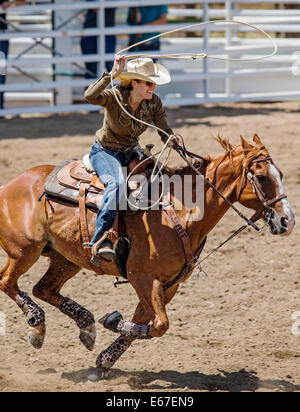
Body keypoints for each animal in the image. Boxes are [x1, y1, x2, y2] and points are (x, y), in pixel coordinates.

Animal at [0, 134, 296, 376]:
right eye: (261, 177)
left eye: (281, 173)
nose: (287, 221)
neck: (181, 211)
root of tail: (9, 186)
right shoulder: (142, 278)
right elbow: (160, 324)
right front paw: (112, 321)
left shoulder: (168, 285)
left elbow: (147, 323)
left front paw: (105, 359)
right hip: (25, 251)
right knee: (7, 282)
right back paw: (37, 326)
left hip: (67, 258)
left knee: (43, 288)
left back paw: (85, 326)